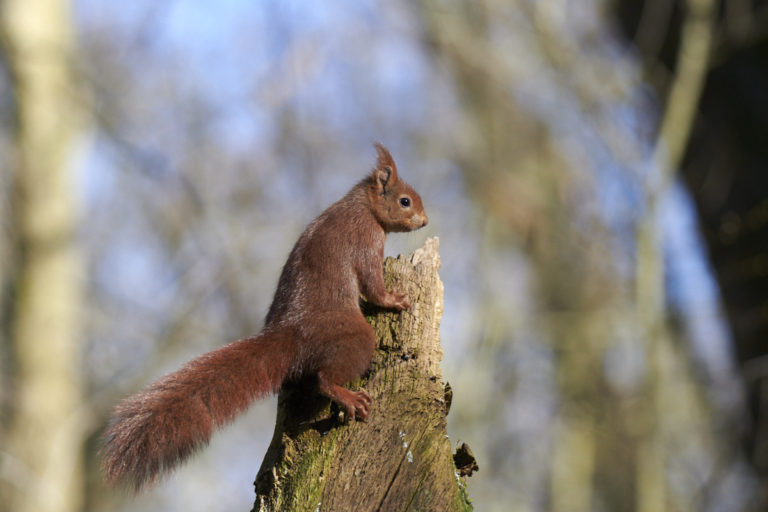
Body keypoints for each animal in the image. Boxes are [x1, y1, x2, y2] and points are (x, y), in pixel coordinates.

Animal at [100, 143, 428, 492]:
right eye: (404, 201)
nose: (425, 221)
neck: (362, 205)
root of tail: (291, 332)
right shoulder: (365, 238)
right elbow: (373, 284)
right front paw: (395, 300)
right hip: (356, 336)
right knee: (324, 379)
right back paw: (348, 397)